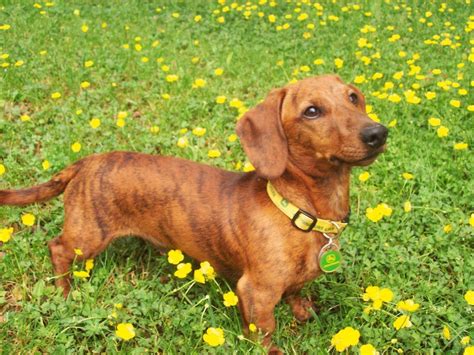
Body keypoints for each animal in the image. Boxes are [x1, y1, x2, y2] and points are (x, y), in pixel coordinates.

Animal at [0, 76, 386, 354]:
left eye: (353, 97)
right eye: (311, 111)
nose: (378, 133)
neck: (297, 208)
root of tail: (86, 162)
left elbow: (297, 294)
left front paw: (304, 312)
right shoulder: (256, 292)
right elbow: (264, 332)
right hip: (87, 236)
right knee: (58, 248)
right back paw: (65, 291)